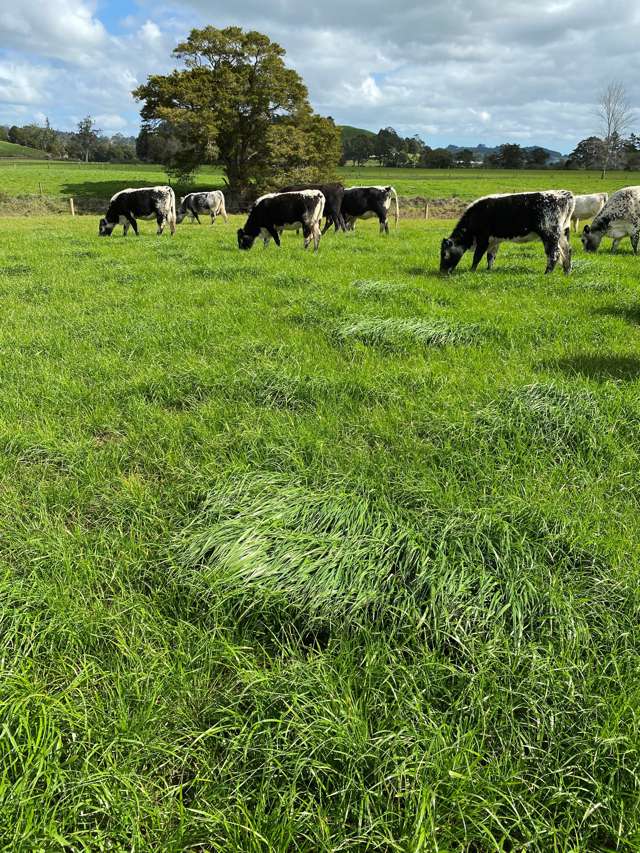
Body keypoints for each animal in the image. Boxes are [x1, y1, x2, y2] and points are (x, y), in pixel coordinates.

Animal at [440, 191, 576, 274]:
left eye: (445, 254)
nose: (442, 271)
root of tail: (563, 194)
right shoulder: (494, 241)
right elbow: (491, 256)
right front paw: (488, 270)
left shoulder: (483, 239)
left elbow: (477, 256)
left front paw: (472, 270)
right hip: (562, 233)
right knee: (567, 250)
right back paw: (567, 271)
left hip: (549, 234)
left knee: (554, 253)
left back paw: (547, 273)